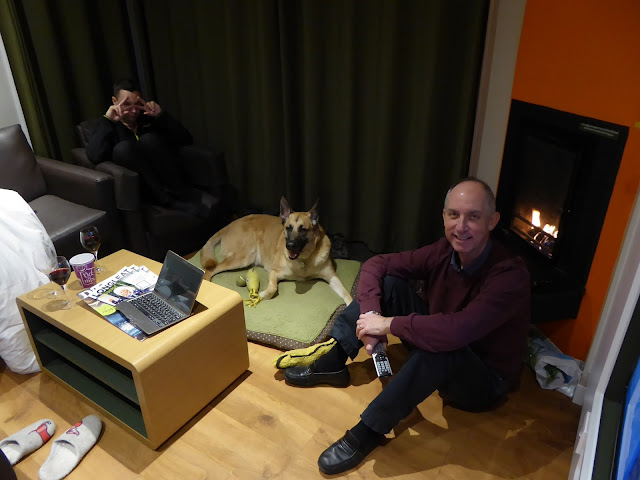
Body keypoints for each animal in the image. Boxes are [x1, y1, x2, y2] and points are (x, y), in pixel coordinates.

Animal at [200, 197, 353, 305]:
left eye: (303, 229)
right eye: (288, 228)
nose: (289, 245)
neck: (304, 259)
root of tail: (229, 225)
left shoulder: (332, 277)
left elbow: (347, 295)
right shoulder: (274, 272)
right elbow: (272, 288)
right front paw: (261, 295)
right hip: (243, 258)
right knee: (211, 269)